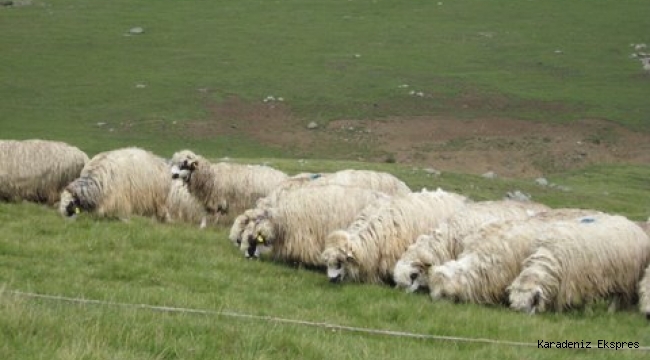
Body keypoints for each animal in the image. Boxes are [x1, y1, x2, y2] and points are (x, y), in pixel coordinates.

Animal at [506, 212, 648, 314]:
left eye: (531, 302)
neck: (549, 253)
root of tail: (629, 222)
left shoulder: (586, 279)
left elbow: (586, 299)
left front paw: (585, 312)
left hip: (625, 277)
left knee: (617, 296)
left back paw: (610, 311)